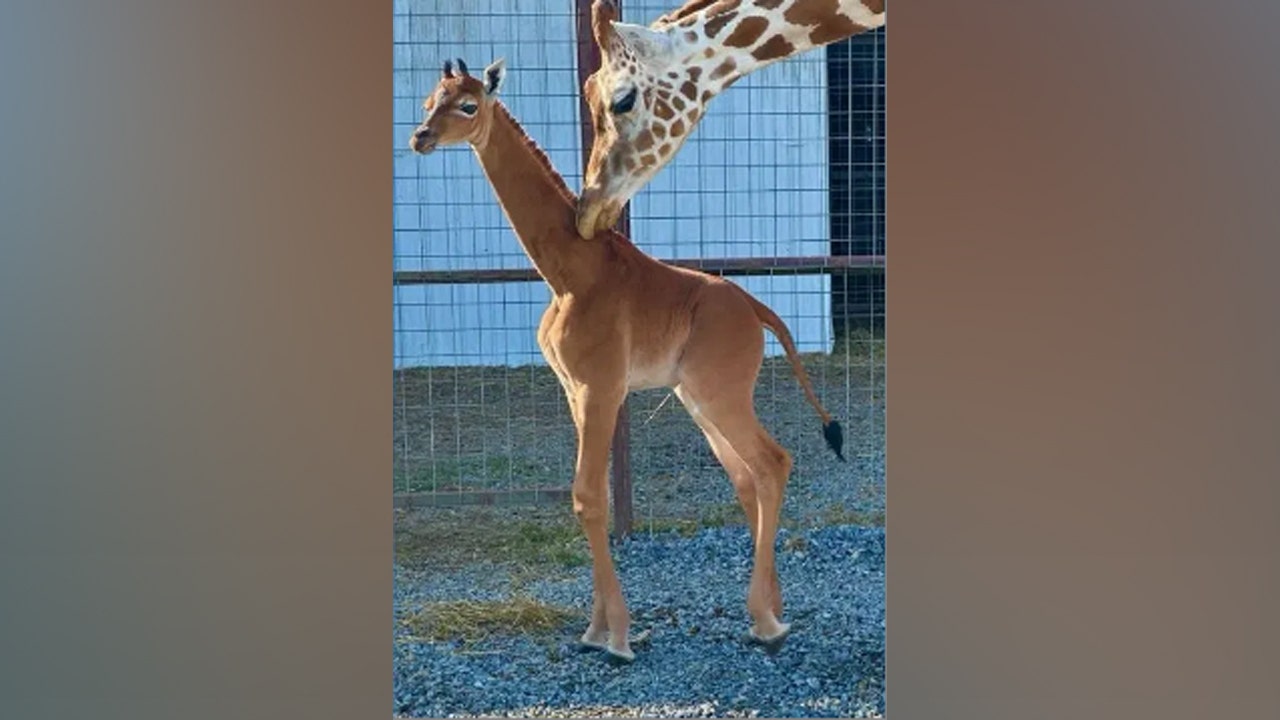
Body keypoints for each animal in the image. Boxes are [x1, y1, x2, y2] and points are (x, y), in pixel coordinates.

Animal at [409, 56, 844, 661]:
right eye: (429, 101)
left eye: (468, 105)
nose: (420, 137)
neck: (568, 272)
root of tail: (758, 309)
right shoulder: (575, 390)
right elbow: (593, 497)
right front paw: (595, 629)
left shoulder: (601, 387)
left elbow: (588, 496)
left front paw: (615, 634)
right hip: (697, 398)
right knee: (747, 475)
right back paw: (772, 611)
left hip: (721, 392)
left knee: (772, 462)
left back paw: (766, 621)